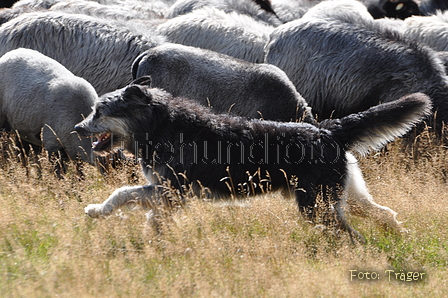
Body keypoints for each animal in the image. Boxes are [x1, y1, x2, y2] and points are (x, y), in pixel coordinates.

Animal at [75, 77, 432, 240]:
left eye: (100, 111)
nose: (78, 128)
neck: (159, 125)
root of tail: (328, 129)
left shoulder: (172, 189)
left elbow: (122, 193)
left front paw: (97, 211)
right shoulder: (168, 195)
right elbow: (150, 214)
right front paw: (153, 240)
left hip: (316, 205)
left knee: (350, 236)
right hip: (345, 196)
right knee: (383, 214)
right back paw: (400, 237)